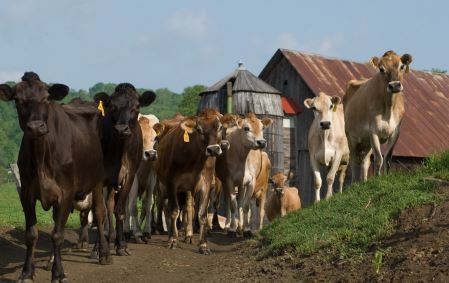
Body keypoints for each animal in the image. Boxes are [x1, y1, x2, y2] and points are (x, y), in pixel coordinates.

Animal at [0, 72, 103, 282]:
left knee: (100, 215)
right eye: (17, 100)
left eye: (47, 98)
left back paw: (101, 253)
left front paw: (58, 274)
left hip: (100, 183)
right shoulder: (27, 194)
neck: (42, 156)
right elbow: (32, 234)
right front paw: (27, 273)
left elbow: (57, 235)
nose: (35, 127)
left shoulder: (66, 193)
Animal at [92, 83, 155, 266]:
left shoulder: (129, 177)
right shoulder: (99, 180)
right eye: (112, 106)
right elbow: (100, 212)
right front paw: (103, 252)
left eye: (137, 106)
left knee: (113, 206)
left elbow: (120, 210)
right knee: (106, 210)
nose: (121, 129)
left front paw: (121, 246)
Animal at [156, 109, 229, 255]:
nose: (213, 149)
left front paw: (203, 245)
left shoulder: (206, 185)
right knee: (166, 207)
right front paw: (173, 240)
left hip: (188, 189)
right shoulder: (171, 183)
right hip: (163, 187)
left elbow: (202, 214)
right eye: (199, 129)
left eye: (220, 127)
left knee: (188, 207)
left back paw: (188, 234)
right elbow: (174, 211)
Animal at [344, 50, 412, 182]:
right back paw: (354, 183)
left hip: (366, 142)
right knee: (354, 161)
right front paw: (377, 178)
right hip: (351, 137)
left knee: (365, 161)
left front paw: (387, 177)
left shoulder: (396, 132)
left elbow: (387, 158)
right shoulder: (373, 131)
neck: (388, 108)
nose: (394, 86)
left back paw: (364, 182)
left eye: (401, 66)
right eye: (381, 69)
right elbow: (379, 158)